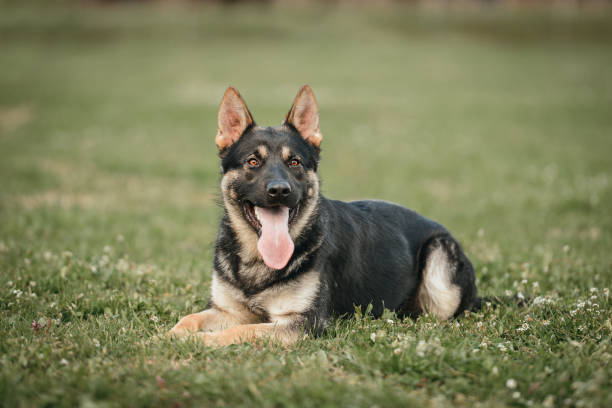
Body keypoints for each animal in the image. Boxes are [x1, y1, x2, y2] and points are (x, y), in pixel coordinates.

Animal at [170, 84, 480, 346]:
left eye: (294, 162)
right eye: (253, 161)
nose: (279, 190)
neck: (257, 262)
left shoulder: (303, 323)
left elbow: (242, 331)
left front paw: (200, 342)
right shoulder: (228, 310)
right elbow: (190, 318)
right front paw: (170, 335)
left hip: (439, 263)